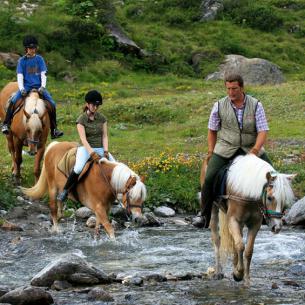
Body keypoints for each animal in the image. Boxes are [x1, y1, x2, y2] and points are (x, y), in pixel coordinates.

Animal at [200, 154, 294, 284]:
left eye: (284, 200)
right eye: (269, 198)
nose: (277, 227)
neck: (247, 193)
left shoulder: (254, 225)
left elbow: (248, 250)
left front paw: (246, 279)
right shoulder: (233, 220)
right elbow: (240, 245)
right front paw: (238, 274)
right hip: (214, 209)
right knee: (217, 239)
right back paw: (219, 272)